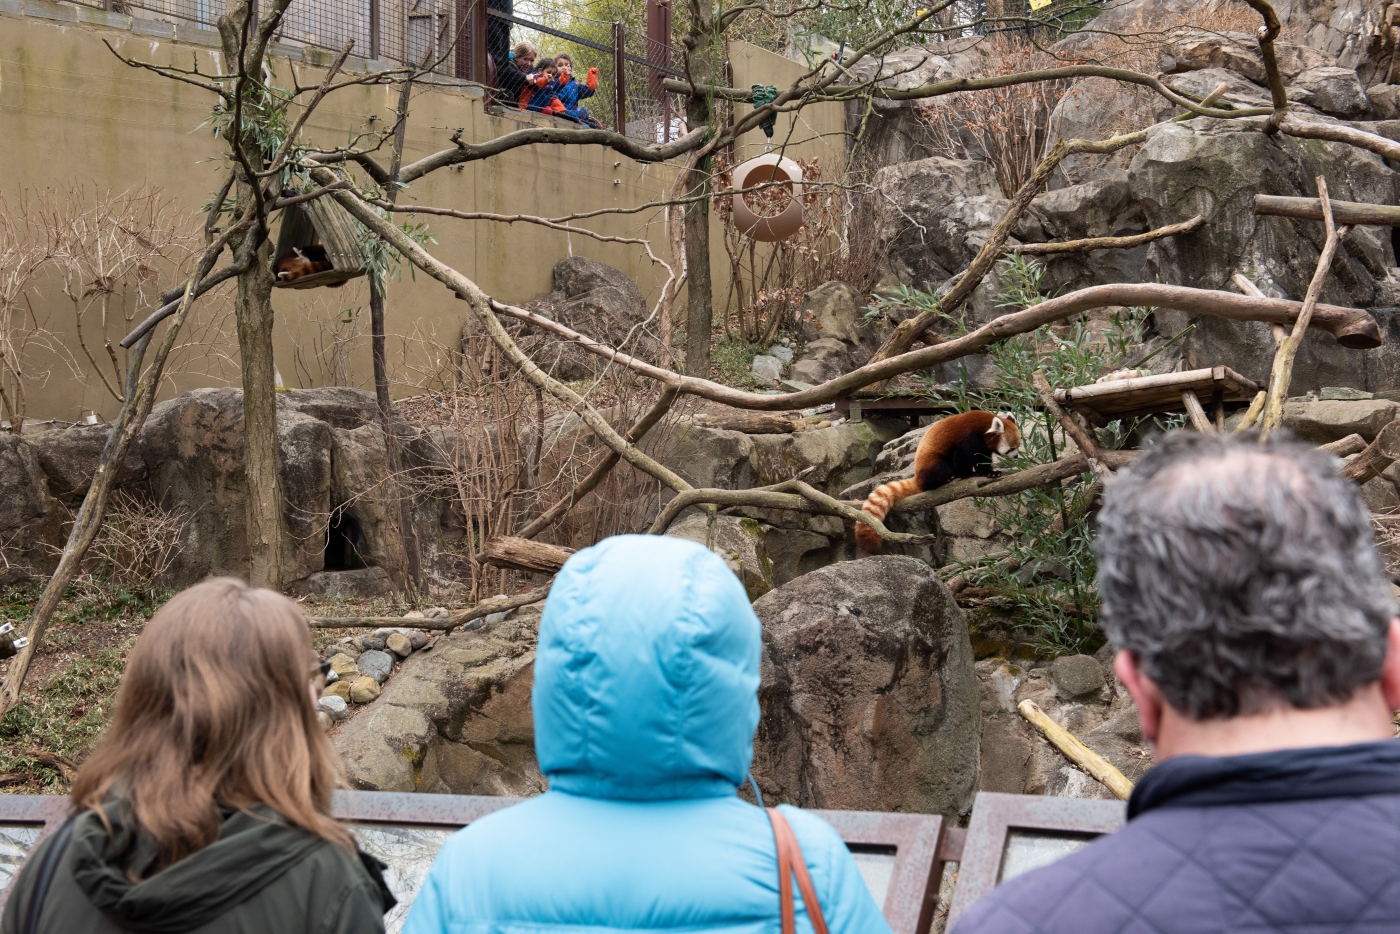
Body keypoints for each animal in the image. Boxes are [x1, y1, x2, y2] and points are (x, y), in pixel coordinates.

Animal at [845, 411, 1024, 554]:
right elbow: (962, 458)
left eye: (1018, 445)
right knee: (940, 467)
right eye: (1011, 448)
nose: (1016, 456)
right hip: (932, 462)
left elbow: (982, 459)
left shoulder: (982, 446)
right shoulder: (967, 438)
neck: (983, 426)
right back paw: (947, 478)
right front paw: (967, 474)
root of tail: (918, 477)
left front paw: (990, 473)